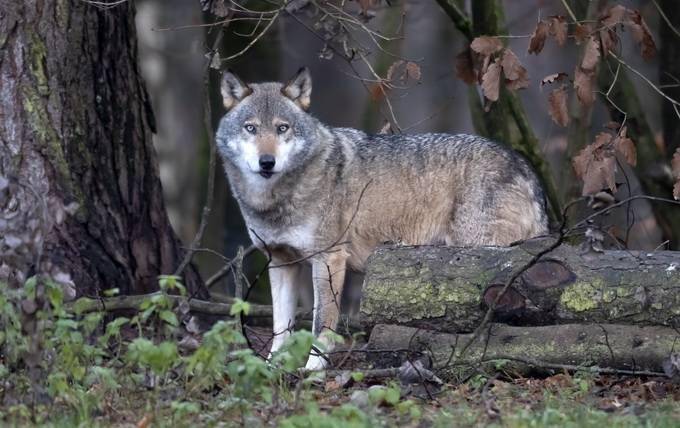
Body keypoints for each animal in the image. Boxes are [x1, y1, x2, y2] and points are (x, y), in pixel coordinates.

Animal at [218, 68, 552, 370]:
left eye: (282, 128)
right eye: (250, 128)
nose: (267, 162)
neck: (278, 200)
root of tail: (525, 168)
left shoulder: (329, 259)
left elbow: (321, 323)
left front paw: (313, 370)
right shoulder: (280, 261)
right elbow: (280, 329)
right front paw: (271, 367)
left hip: (479, 251)